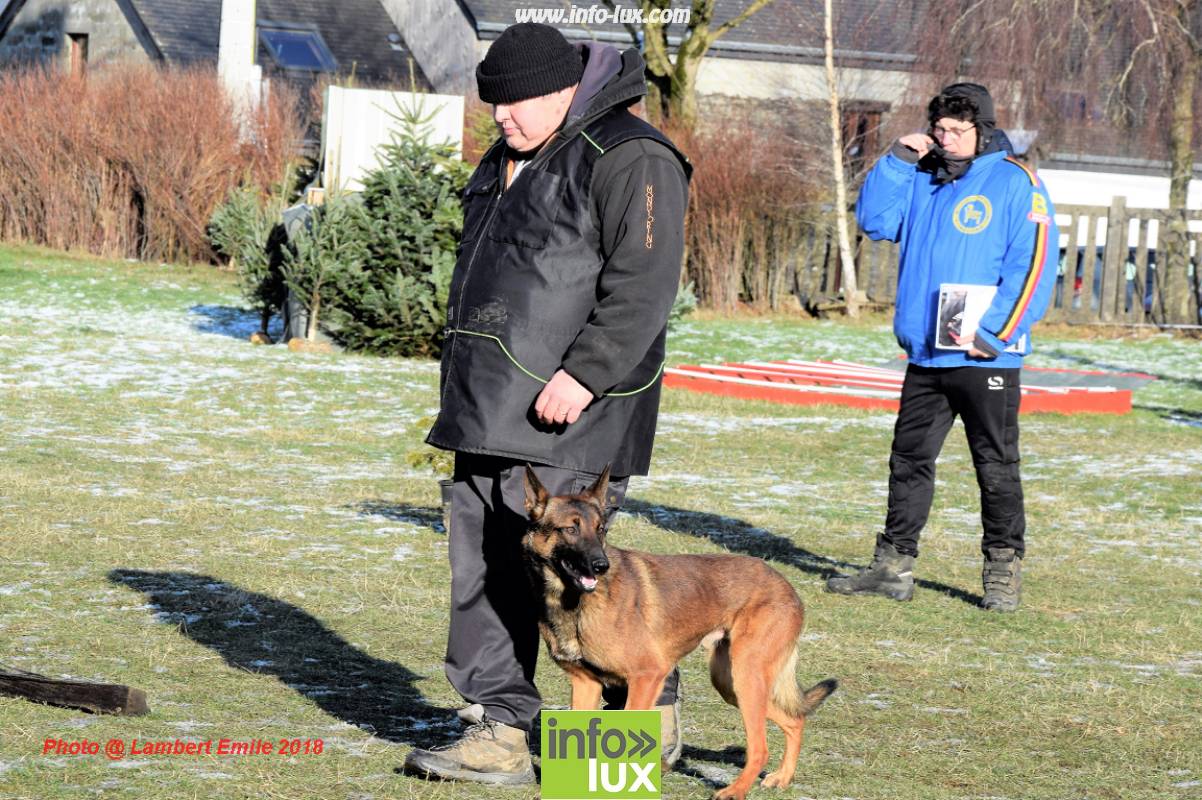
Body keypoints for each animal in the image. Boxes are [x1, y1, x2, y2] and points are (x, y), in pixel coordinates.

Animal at [521, 463, 841, 792]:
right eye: (570, 529)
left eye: (600, 530)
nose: (601, 565)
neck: (572, 602)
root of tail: (788, 587)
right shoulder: (586, 684)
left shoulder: (648, 675)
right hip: (731, 683)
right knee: (794, 720)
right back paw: (783, 777)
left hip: (746, 677)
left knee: (761, 747)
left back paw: (734, 791)